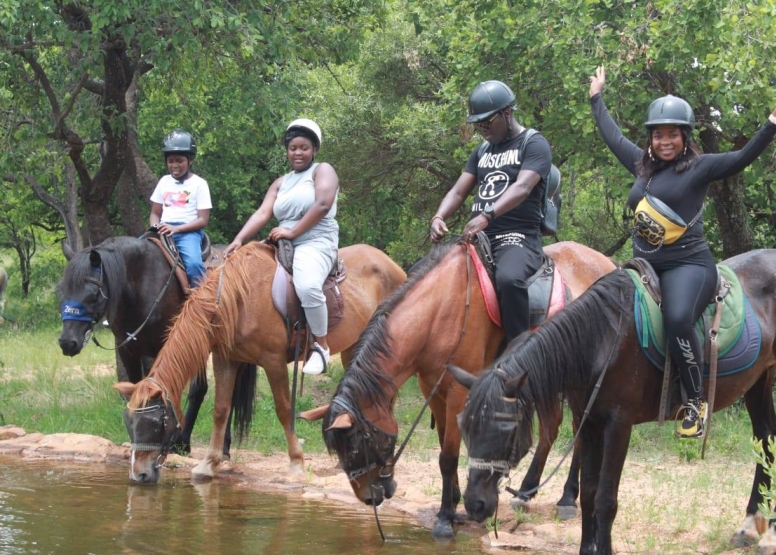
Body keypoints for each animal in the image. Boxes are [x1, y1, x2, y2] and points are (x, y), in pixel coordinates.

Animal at [60, 237, 255, 458]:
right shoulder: (128, 350)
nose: (67, 342)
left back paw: (212, 447)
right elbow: (135, 390)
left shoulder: (160, 348)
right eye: (63, 290)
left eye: (93, 294)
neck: (140, 282)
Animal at [116, 241, 410, 484]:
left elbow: (283, 409)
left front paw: (296, 462)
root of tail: (393, 266)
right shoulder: (226, 359)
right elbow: (221, 409)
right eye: (129, 424)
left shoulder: (273, 361)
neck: (237, 299)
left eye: (155, 423)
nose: (139, 475)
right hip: (353, 347)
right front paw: (209, 463)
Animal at [300, 239, 616, 540]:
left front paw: (444, 518)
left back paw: (566, 498)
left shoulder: (457, 392)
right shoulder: (433, 389)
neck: (438, 312)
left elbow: (449, 456)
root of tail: (607, 264)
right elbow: (444, 447)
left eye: (356, 447)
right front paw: (452, 503)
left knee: (578, 429)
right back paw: (528, 491)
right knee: (552, 428)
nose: (369, 498)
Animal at [448, 253, 776, 555]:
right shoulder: (589, 422)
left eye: (505, 429)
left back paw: (768, 535)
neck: (601, 340)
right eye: (466, 427)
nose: (475, 504)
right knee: (766, 440)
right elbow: (589, 495)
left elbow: (606, 499)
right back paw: (751, 526)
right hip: (759, 383)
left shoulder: (619, 425)